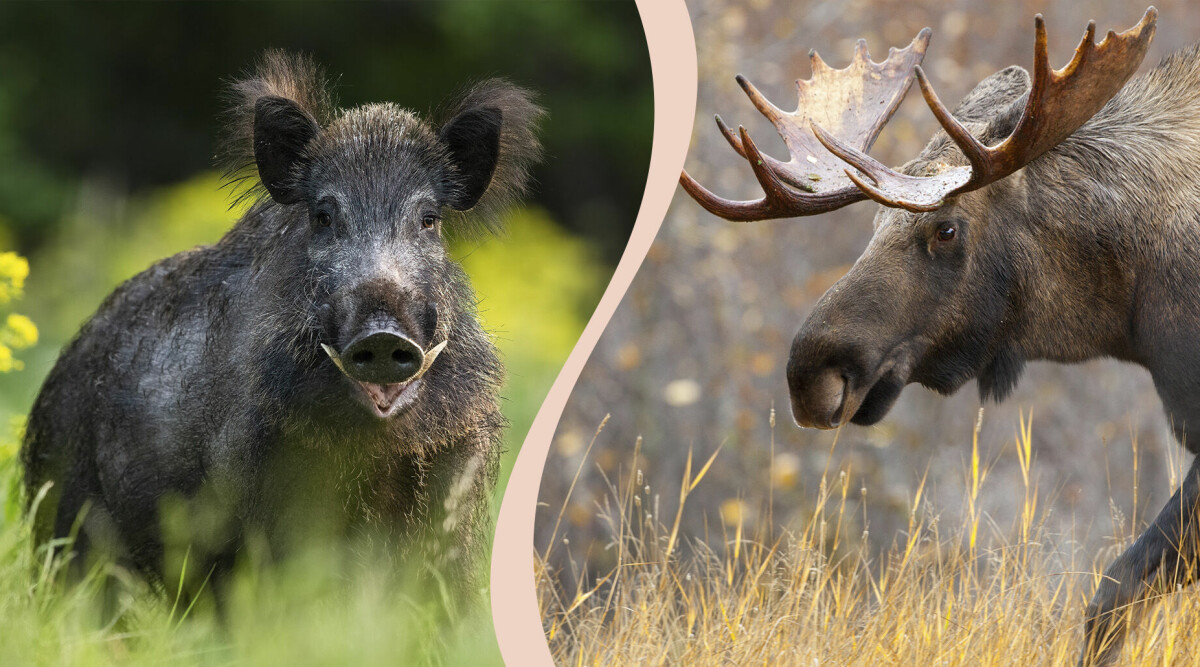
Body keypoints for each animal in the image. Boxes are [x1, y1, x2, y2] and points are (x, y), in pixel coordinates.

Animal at [21, 49, 544, 607]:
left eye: (428, 220)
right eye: (322, 217)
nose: (383, 335)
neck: (375, 453)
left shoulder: (455, 480)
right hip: (64, 510)